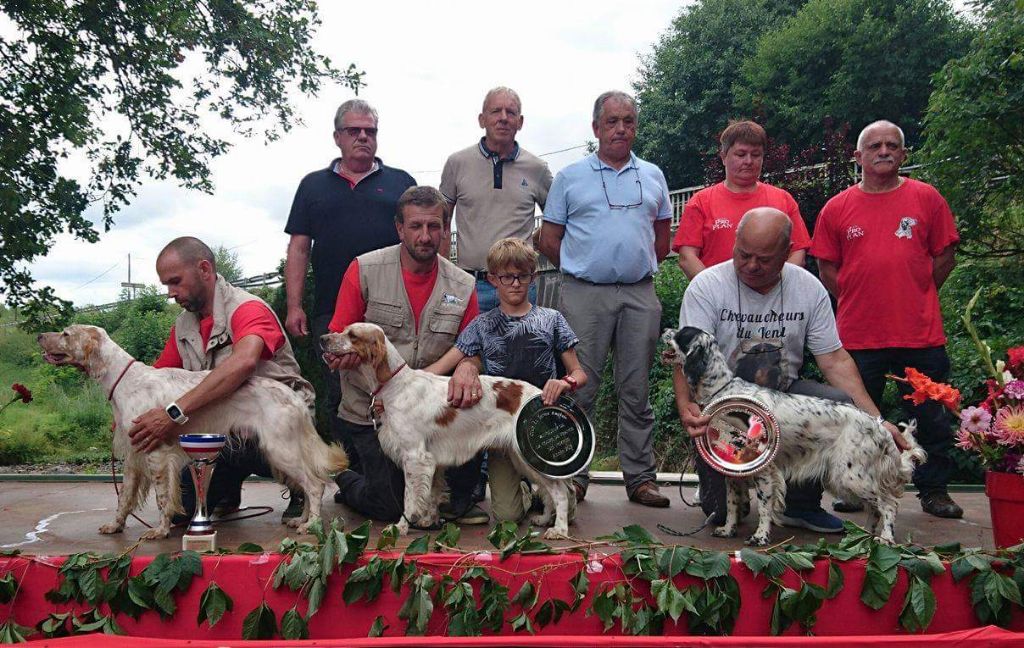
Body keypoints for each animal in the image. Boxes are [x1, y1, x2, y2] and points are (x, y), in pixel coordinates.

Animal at [37, 323, 348, 540]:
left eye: (65, 333)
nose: (40, 336)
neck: (125, 380)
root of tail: (293, 396)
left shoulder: (156, 453)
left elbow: (163, 498)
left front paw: (160, 531)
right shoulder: (133, 456)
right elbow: (123, 498)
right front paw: (115, 525)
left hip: (281, 449)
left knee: (315, 484)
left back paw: (312, 525)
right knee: (309, 483)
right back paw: (302, 520)